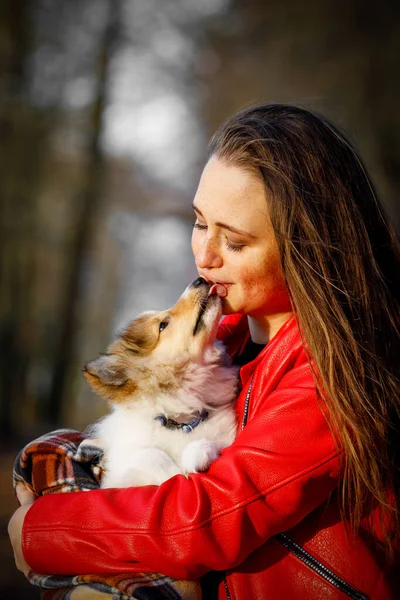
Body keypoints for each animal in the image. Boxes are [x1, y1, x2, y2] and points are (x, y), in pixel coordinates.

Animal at [82, 276, 236, 488]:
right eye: (163, 325)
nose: (199, 279)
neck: (179, 420)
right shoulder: (125, 456)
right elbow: (150, 454)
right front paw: (173, 473)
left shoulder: (226, 434)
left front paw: (198, 455)